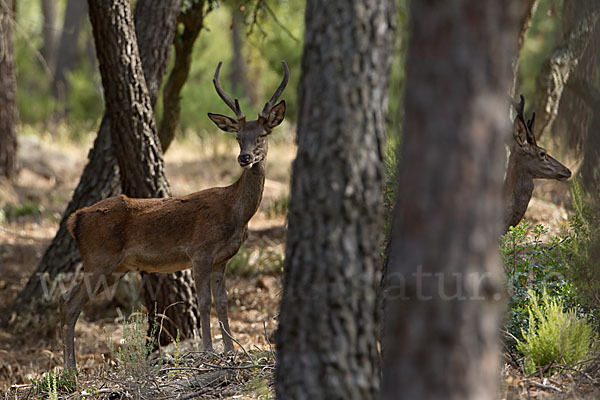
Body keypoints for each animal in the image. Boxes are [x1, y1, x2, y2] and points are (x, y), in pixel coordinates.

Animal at [59, 60, 290, 372]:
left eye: (262, 135)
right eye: (238, 137)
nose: (244, 158)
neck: (235, 213)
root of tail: (75, 219)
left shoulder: (222, 259)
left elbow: (223, 302)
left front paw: (231, 350)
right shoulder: (200, 251)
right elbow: (204, 302)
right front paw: (208, 350)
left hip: (116, 265)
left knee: (70, 300)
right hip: (98, 258)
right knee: (69, 301)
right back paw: (70, 369)